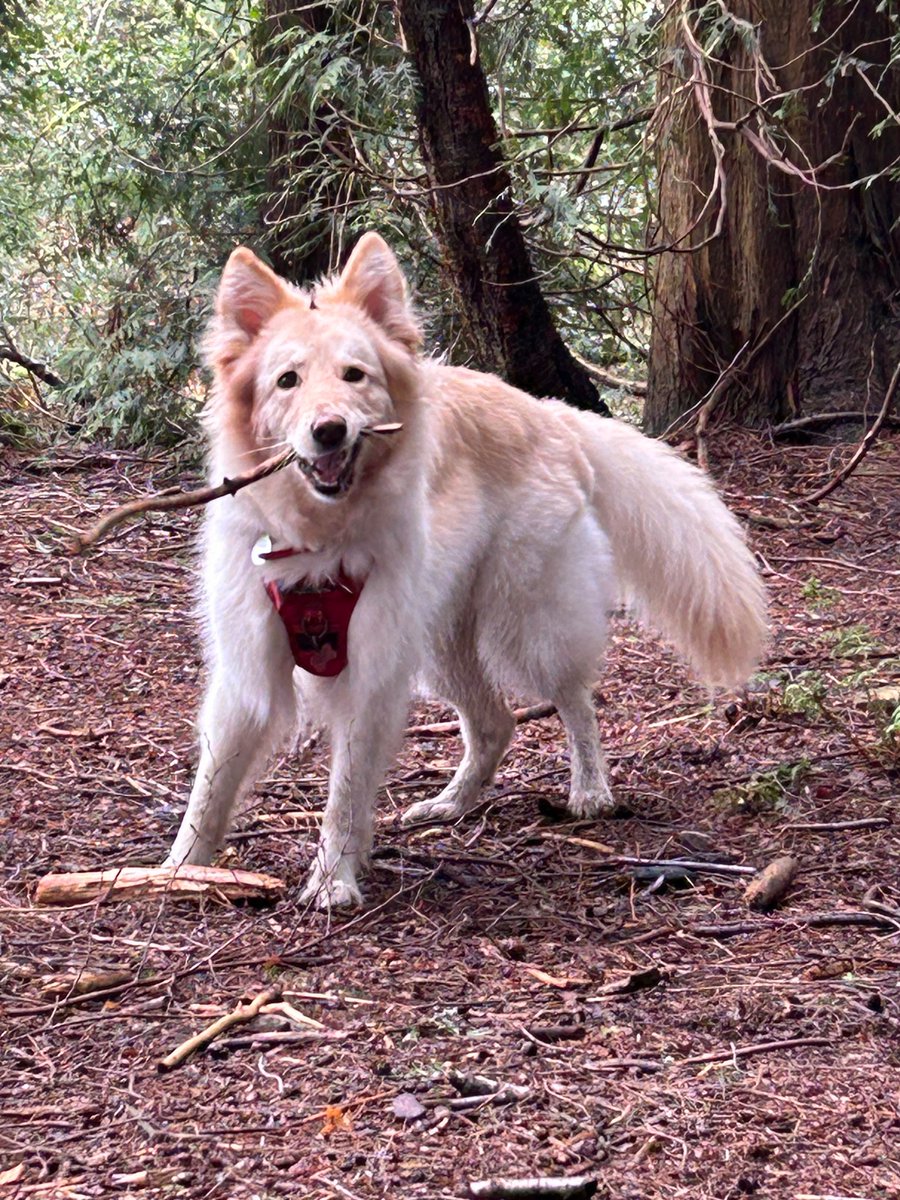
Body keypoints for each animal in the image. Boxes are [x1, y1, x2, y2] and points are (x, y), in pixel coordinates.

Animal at [164, 234, 768, 902]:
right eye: (286, 381)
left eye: (355, 375)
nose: (329, 431)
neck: (316, 541)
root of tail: (548, 412)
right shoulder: (248, 671)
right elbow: (211, 788)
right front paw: (177, 871)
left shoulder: (370, 676)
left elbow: (344, 793)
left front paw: (332, 879)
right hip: (438, 645)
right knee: (495, 722)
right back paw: (452, 804)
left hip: (528, 624)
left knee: (575, 700)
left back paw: (590, 789)